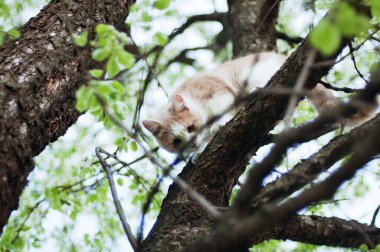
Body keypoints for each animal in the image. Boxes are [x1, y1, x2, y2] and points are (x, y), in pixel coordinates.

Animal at [142, 52, 374, 160]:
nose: (190, 144)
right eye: (176, 141)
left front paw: (217, 126)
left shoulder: (217, 92)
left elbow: (222, 111)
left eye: (190, 127)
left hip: (253, 72)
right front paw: (198, 152)